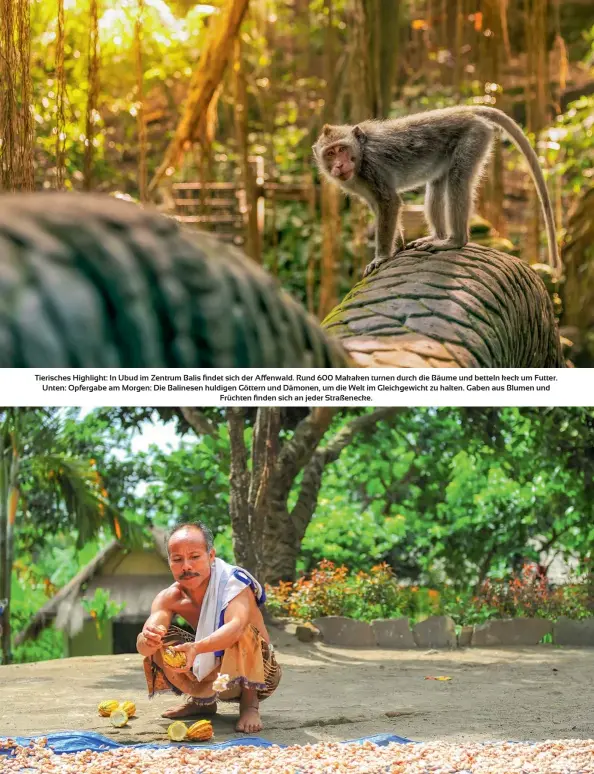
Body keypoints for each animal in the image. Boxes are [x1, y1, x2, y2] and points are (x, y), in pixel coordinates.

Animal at [310, 107, 560, 278]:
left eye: (342, 149)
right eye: (330, 153)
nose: (339, 165)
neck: (360, 155)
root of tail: (466, 111)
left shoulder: (373, 168)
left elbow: (389, 203)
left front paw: (381, 256)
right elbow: (379, 206)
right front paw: (397, 245)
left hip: (474, 137)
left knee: (458, 181)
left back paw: (454, 241)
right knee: (436, 184)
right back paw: (437, 236)